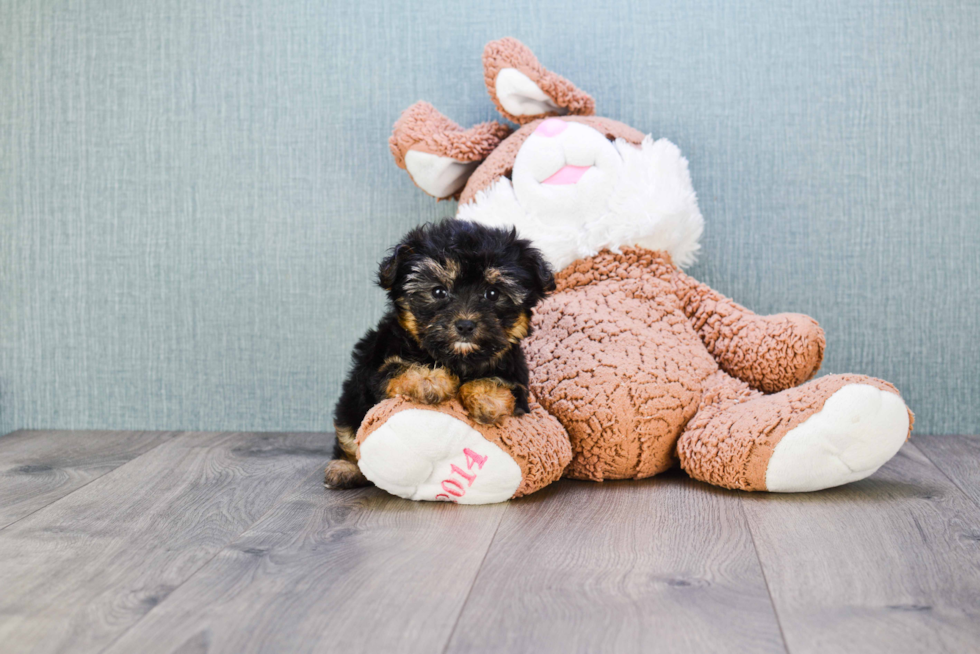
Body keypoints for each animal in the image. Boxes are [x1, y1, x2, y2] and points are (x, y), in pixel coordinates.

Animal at [328, 222, 556, 492]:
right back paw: (345, 468)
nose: (465, 324)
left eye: (492, 293)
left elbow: (502, 382)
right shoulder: (378, 369)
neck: (457, 358)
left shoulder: (516, 376)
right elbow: (400, 369)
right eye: (438, 291)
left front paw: (486, 398)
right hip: (351, 403)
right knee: (348, 434)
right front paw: (431, 380)